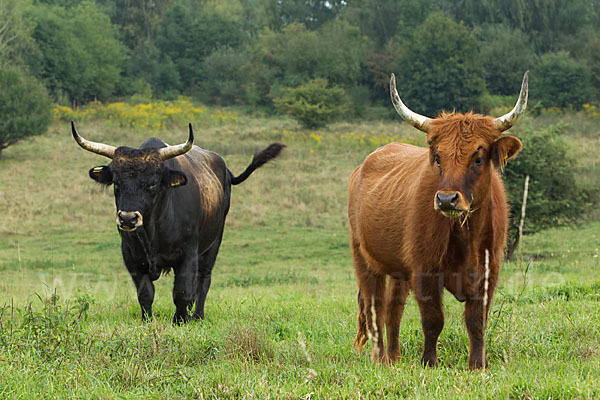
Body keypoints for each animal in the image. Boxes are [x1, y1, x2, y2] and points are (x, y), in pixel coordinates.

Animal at [71, 122, 284, 322]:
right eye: (117, 183)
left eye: (152, 184)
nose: (128, 218)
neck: (153, 232)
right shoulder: (130, 255)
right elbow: (145, 293)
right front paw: (147, 320)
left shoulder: (188, 253)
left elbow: (183, 292)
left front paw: (180, 320)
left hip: (213, 244)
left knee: (203, 280)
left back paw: (197, 315)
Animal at [350, 71, 528, 368]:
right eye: (438, 158)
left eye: (478, 157)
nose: (446, 200)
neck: (466, 236)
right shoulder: (425, 270)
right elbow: (433, 320)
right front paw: (429, 362)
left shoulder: (490, 271)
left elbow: (476, 321)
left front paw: (477, 364)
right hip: (364, 260)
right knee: (375, 308)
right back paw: (379, 358)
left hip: (398, 270)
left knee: (392, 309)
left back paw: (393, 358)